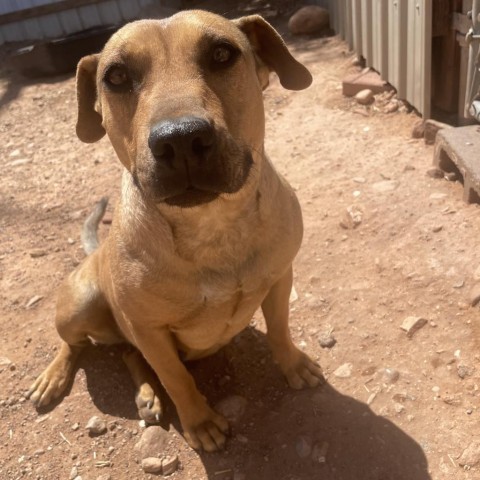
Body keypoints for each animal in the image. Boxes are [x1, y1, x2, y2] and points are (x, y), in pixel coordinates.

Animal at [28, 9, 324, 450]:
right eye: (116, 76)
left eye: (221, 53)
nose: (181, 139)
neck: (212, 226)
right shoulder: (149, 330)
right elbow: (176, 377)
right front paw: (199, 421)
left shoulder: (279, 279)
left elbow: (280, 329)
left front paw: (293, 364)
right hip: (81, 303)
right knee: (75, 343)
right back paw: (55, 377)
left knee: (128, 355)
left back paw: (146, 395)